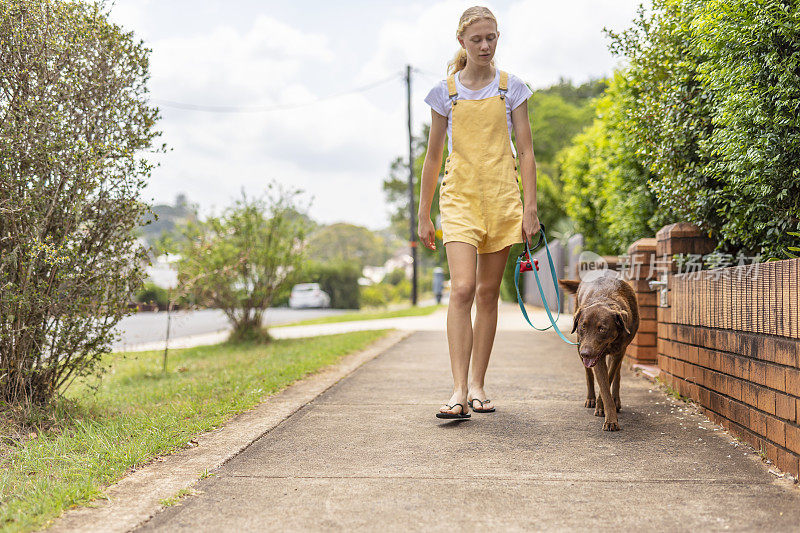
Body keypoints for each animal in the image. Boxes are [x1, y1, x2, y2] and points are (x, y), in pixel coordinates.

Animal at [560, 272, 640, 430]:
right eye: (583, 326)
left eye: (602, 329)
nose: (585, 353)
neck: (606, 298)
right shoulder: (596, 356)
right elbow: (603, 385)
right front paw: (609, 417)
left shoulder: (619, 351)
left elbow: (609, 377)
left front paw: (604, 406)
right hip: (579, 345)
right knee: (588, 374)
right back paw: (590, 398)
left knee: (617, 373)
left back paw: (616, 399)